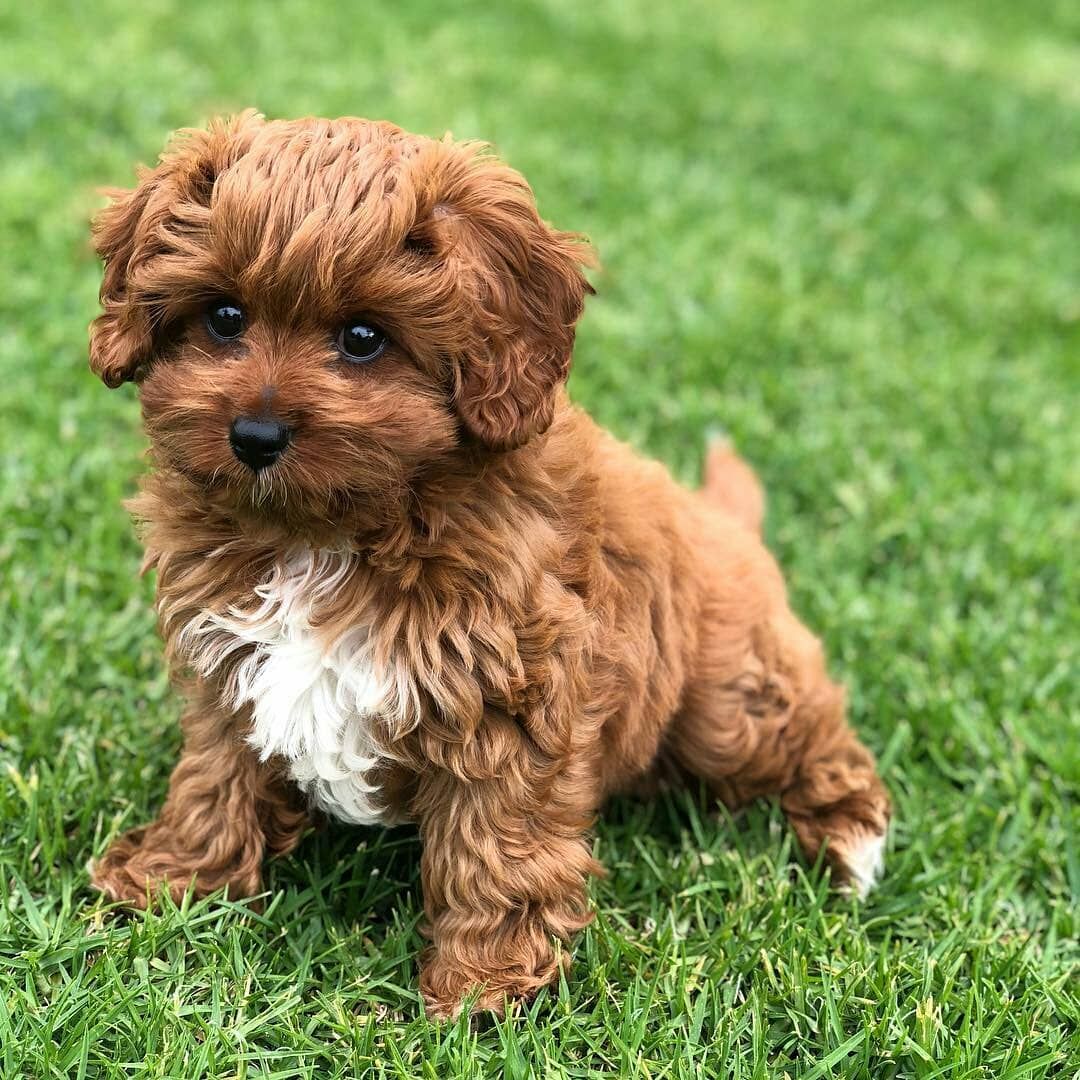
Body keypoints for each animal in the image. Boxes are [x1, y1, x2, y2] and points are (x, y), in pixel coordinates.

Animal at [88, 113, 889, 1015]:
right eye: (223, 317)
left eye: (363, 338)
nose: (255, 437)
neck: (327, 533)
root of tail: (720, 519)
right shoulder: (228, 666)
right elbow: (214, 775)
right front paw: (173, 880)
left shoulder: (511, 690)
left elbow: (494, 842)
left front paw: (485, 987)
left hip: (725, 701)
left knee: (812, 731)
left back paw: (853, 838)